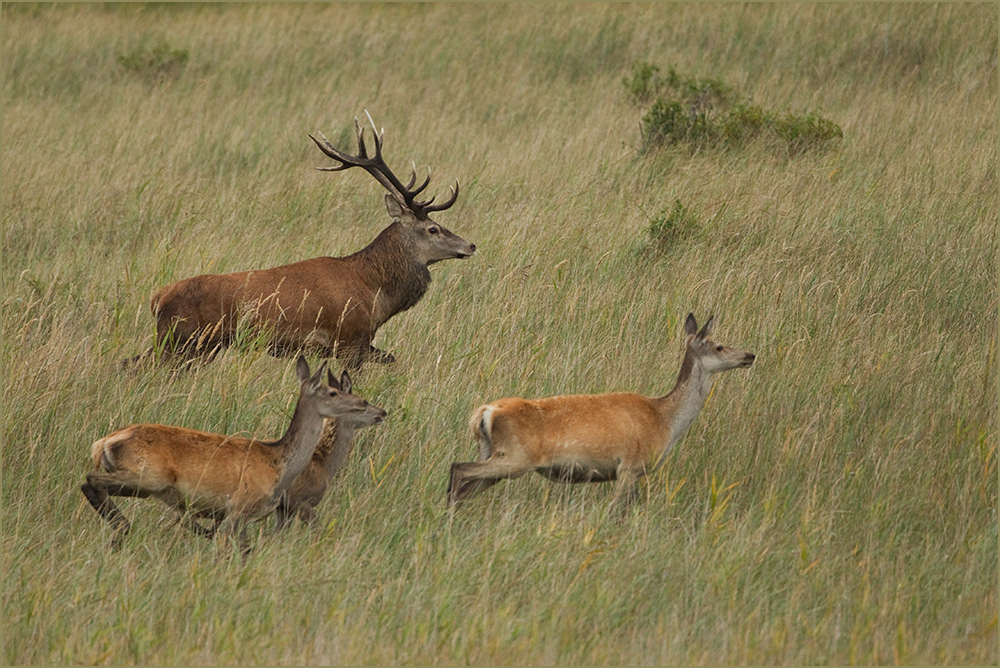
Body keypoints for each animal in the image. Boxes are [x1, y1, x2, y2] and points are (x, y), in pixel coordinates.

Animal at [80, 358, 376, 552]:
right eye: (333, 392)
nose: (365, 403)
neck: (279, 462)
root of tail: (102, 443)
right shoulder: (241, 507)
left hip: (144, 485)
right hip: (149, 476)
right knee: (91, 480)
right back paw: (123, 529)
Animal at [143, 113, 478, 370]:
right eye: (433, 229)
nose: (471, 245)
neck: (376, 293)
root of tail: (157, 298)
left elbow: (391, 358)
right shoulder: (349, 340)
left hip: (191, 344)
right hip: (184, 339)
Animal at [450, 316, 752, 508]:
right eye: (719, 345)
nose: (750, 355)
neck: (665, 420)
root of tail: (484, 412)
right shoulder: (630, 465)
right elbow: (618, 510)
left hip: (494, 455)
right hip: (516, 457)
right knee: (458, 468)